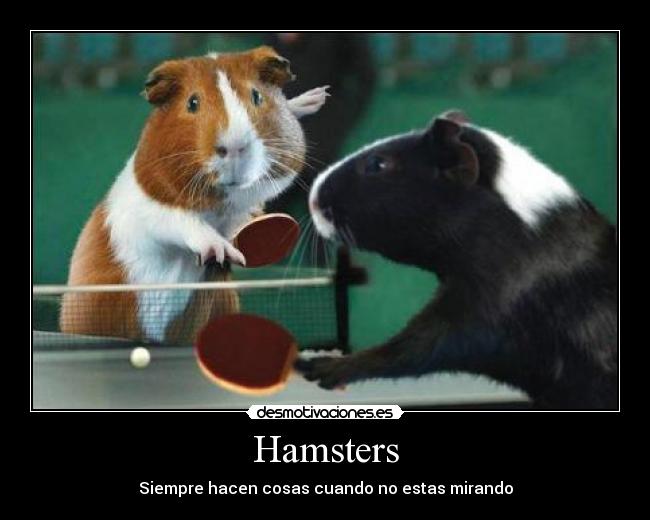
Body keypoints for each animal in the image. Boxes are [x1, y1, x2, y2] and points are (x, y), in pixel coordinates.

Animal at [60, 46, 329, 344]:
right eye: (192, 103)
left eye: (257, 96)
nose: (234, 147)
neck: (219, 207)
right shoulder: (150, 214)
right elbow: (185, 223)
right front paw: (222, 252)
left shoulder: (244, 211)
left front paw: (316, 97)